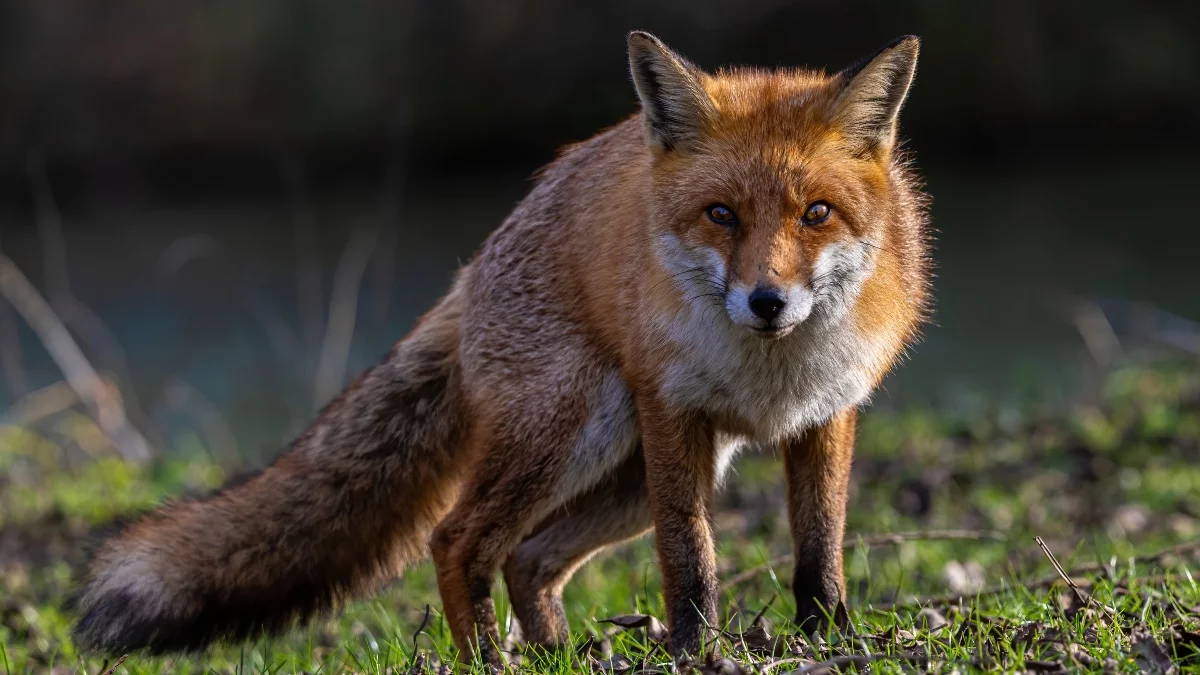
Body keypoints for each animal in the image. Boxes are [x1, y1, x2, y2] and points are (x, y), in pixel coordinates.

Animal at [70, 30, 926, 662]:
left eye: (816, 213)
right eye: (721, 214)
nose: (767, 301)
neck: (769, 376)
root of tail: (475, 263)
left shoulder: (827, 412)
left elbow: (820, 546)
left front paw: (830, 636)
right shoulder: (673, 411)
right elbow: (691, 555)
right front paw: (695, 648)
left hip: (625, 471)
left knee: (529, 556)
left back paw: (557, 654)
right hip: (581, 430)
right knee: (458, 540)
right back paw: (492, 658)